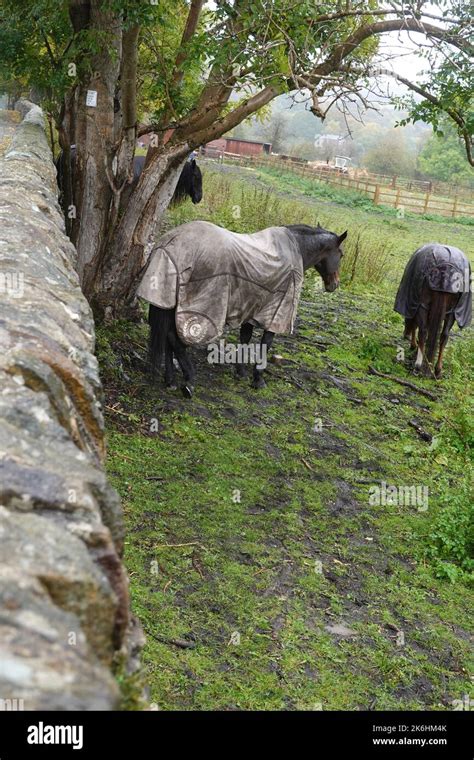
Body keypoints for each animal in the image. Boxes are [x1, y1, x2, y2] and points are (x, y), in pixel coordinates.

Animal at [135, 220, 346, 398]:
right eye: (341, 255)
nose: (334, 284)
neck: (295, 250)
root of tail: (169, 245)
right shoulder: (276, 315)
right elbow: (265, 344)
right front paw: (258, 379)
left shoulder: (252, 309)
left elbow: (245, 339)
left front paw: (240, 372)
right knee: (175, 340)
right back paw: (189, 380)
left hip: (167, 303)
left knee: (168, 339)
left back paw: (170, 380)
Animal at [396, 243, 470, 378]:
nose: (405, 335)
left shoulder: (418, 305)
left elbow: (417, 328)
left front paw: (414, 346)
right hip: (452, 312)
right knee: (444, 336)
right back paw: (437, 369)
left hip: (423, 305)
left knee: (423, 331)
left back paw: (418, 365)